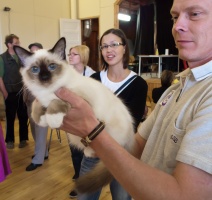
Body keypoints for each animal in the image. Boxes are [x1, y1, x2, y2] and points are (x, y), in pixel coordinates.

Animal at [13, 37, 136, 194]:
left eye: (52, 66)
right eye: (35, 69)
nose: (45, 78)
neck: (49, 91)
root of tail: (132, 134)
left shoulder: (77, 99)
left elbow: (55, 103)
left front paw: (51, 119)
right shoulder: (40, 99)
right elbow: (36, 106)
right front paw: (41, 119)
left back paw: (90, 151)